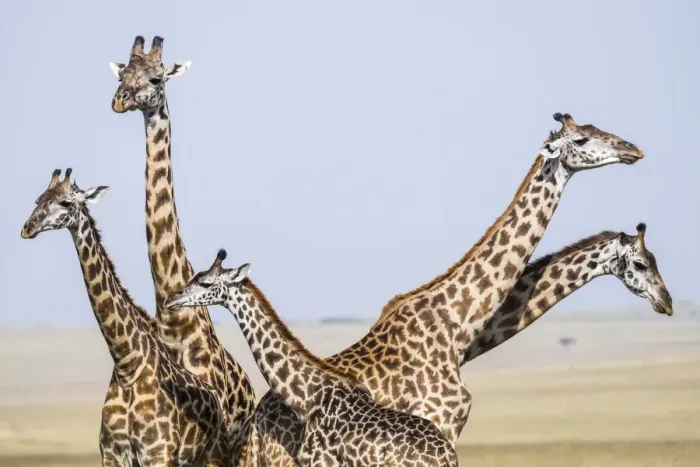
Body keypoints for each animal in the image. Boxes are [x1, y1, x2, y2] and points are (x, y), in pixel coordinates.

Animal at [20, 169, 230, 467]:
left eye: (65, 203)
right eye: (38, 199)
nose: (28, 228)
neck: (127, 365)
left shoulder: (157, 453)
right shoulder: (112, 454)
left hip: (212, 455)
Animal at [164, 250, 459, 467]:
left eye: (205, 283)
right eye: (196, 276)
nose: (171, 299)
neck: (306, 398)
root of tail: (446, 456)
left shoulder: (320, 462)